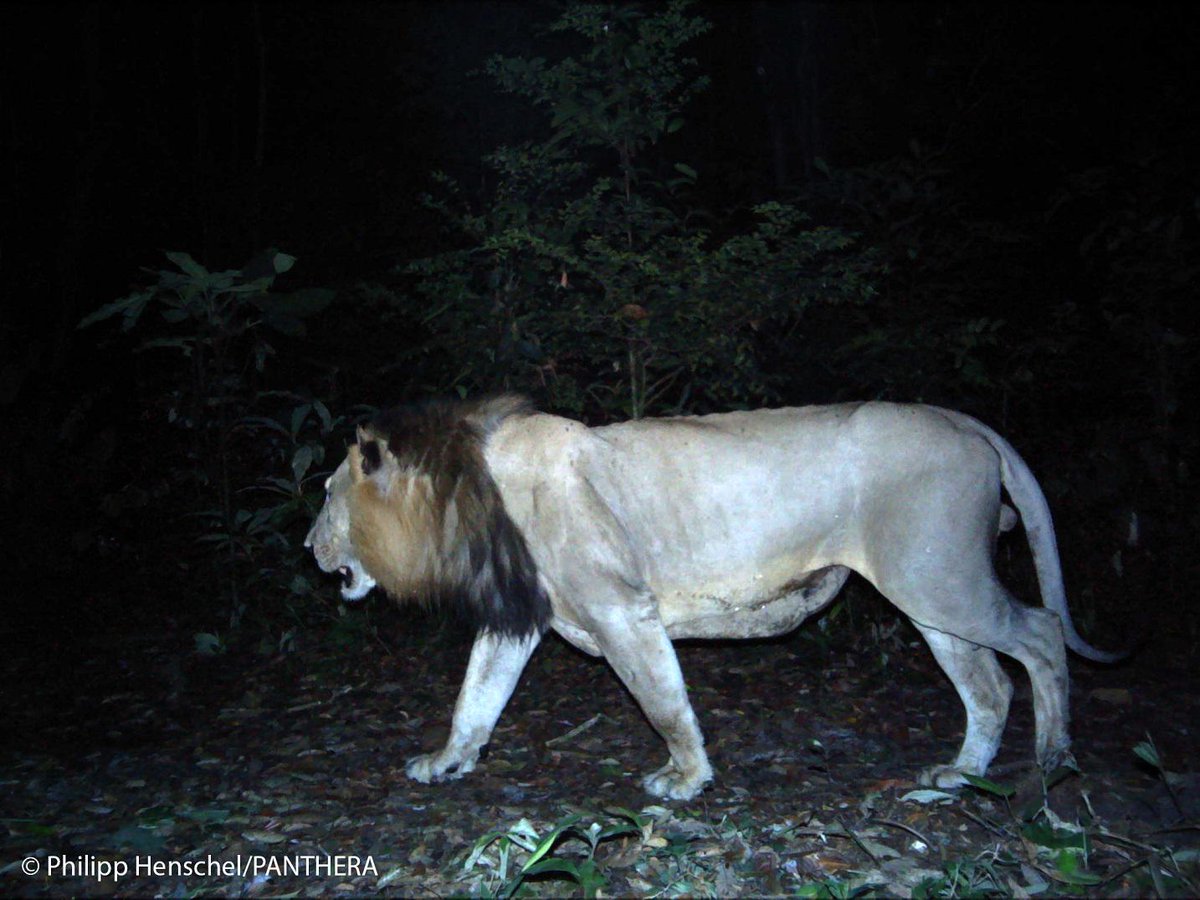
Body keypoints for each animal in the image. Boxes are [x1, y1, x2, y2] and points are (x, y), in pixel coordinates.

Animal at [305, 395, 1119, 800]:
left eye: (327, 493)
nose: (309, 546)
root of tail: (962, 419)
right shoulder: (519, 621)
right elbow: (476, 697)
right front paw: (446, 762)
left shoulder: (621, 610)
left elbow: (662, 699)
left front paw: (685, 779)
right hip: (929, 587)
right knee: (988, 685)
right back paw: (961, 774)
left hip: (939, 576)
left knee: (1041, 634)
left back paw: (1053, 764)